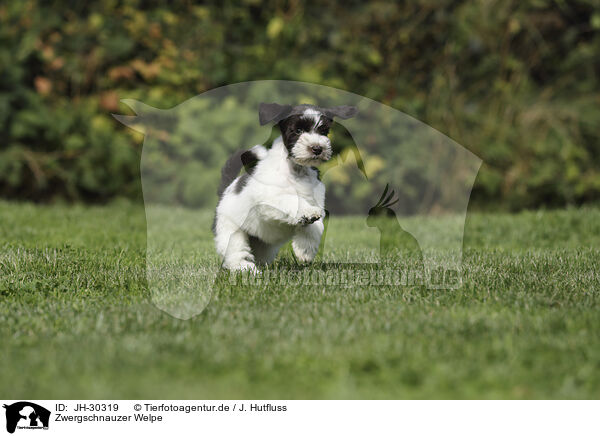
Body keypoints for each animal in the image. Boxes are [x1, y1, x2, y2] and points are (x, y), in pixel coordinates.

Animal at [214, 103, 356, 270]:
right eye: (298, 130)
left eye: (323, 131)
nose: (317, 148)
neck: (297, 170)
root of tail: (227, 190)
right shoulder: (271, 198)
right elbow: (292, 200)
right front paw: (307, 211)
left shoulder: (317, 200)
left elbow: (315, 226)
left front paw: (306, 250)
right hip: (231, 229)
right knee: (236, 251)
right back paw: (246, 269)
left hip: (263, 245)